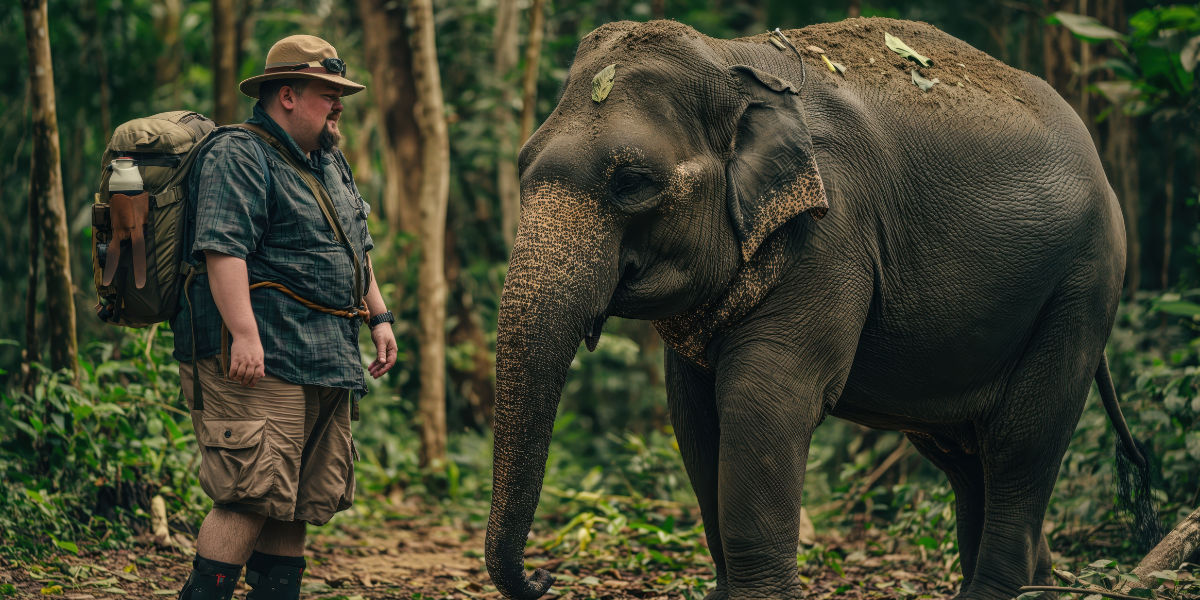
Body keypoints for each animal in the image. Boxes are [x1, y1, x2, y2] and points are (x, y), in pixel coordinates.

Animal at [484, 17, 1158, 600]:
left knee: (1021, 445)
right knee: (966, 461)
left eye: (631, 182)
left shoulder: (835, 232)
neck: (738, 62)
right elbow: (694, 414)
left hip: (1083, 285)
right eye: (521, 165)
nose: (544, 577)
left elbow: (765, 398)